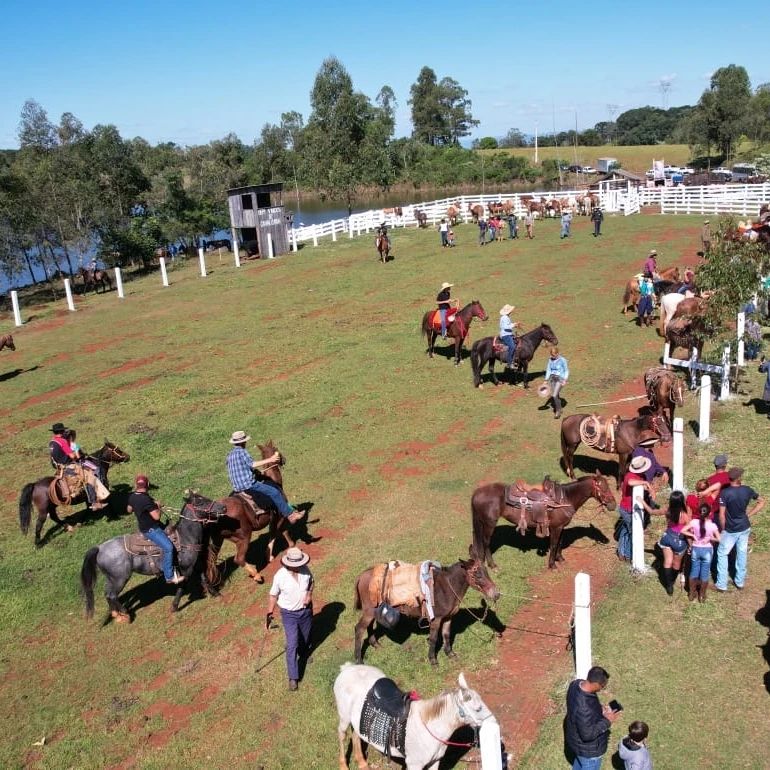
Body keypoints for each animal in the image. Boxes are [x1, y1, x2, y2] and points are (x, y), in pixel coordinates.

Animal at [80, 488, 225, 620]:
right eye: (200, 502)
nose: (223, 507)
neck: (184, 537)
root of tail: (100, 548)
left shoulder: (196, 564)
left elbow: (204, 578)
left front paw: (216, 594)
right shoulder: (186, 569)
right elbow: (182, 587)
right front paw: (174, 607)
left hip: (111, 578)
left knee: (107, 594)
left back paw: (117, 614)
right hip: (120, 578)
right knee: (112, 595)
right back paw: (126, 614)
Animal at [204, 438, 300, 584]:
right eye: (276, 449)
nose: (283, 459)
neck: (273, 482)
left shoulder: (272, 519)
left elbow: (273, 533)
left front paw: (269, 555)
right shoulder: (280, 516)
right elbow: (282, 531)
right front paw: (291, 545)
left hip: (218, 540)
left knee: (211, 561)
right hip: (244, 536)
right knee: (238, 558)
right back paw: (256, 574)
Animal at [334, 660, 496, 768]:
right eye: (478, 709)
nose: (494, 723)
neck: (429, 729)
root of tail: (348, 668)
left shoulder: (435, 762)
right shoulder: (414, 765)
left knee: (356, 735)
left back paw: (362, 763)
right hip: (344, 718)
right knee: (342, 735)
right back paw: (343, 765)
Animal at [352, 556, 498, 664]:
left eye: (486, 572)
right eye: (477, 574)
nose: (496, 594)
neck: (447, 587)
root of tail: (362, 575)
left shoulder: (448, 618)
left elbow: (446, 635)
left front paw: (450, 654)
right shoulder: (436, 619)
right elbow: (433, 638)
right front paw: (433, 660)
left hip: (372, 611)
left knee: (368, 626)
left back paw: (375, 644)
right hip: (369, 611)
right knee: (359, 629)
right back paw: (359, 660)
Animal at [468, 468, 616, 568]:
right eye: (603, 487)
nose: (613, 505)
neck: (565, 499)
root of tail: (477, 493)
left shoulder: (561, 527)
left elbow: (560, 543)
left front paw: (560, 559)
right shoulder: (556, 528)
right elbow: (554, 544)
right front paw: (552, 565)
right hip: (489, 524)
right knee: (486, 542)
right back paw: (492, 565)